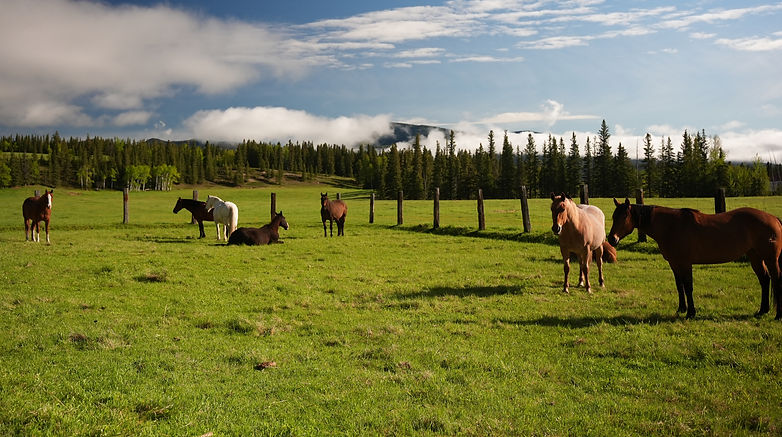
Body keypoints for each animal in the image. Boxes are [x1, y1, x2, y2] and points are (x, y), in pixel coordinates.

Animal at [607, 198, 782, 319]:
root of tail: (774, 219)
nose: (611, 239)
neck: (671, 226)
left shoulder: (686, 263)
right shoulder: (674, 263)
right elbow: (679, 286)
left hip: (770, 259)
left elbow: (688, 286)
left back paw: (777, 315)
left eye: (624, 216)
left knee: (776, 279)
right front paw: (681, 309)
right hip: (755, 257)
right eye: (614, 216)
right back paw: (762, 311)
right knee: (765, 280)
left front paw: (691, 312)